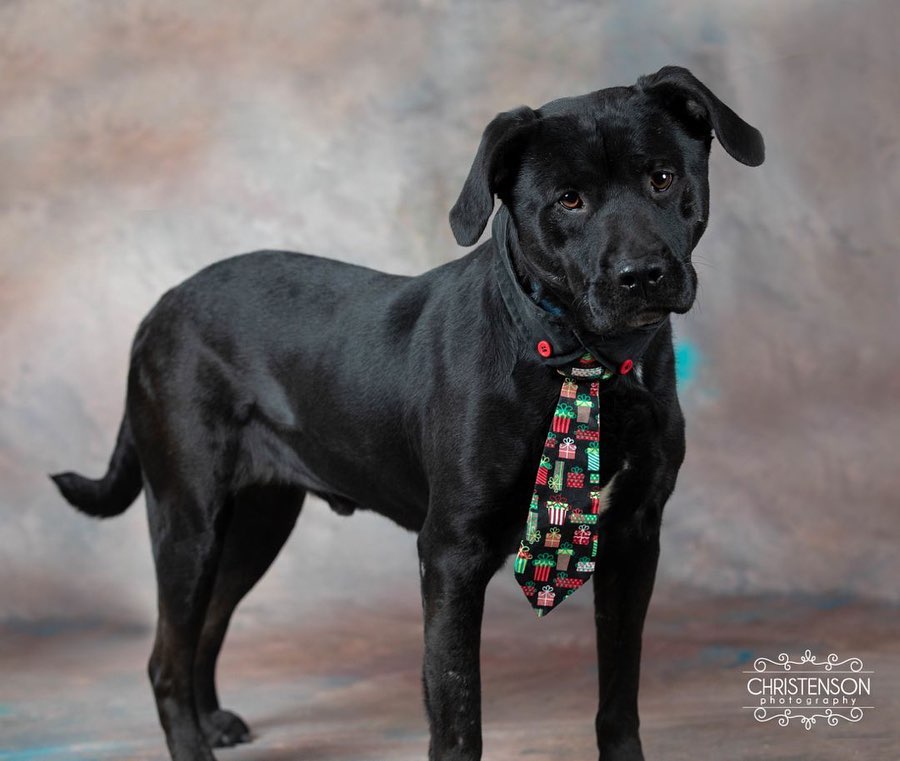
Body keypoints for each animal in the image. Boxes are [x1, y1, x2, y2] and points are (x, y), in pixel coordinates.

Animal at [52, 67, 764, 760]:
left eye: (663, 178)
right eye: (569, 200)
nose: (641, 274)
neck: (582, 361)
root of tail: (158, 307)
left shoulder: (633, 537)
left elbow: (619, 694)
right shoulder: (451, 551)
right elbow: (457, 712)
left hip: (256, 519)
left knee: (205, 627)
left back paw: (213, 723)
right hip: (188, 519)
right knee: (165, 659)